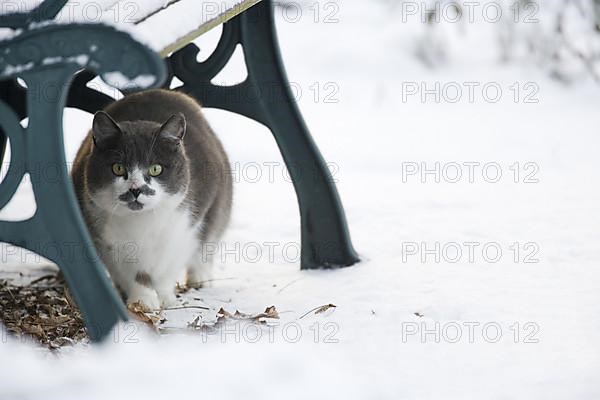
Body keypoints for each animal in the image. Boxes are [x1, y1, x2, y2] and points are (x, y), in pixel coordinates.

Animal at [71, 89, 233, 310]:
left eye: (156, 169)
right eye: (118, 168)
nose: (136, 189)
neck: (141, 221)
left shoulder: (186, 225)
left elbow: (169, 266)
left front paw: (164, 296)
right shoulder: (105, 239)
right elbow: (129, 273)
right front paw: (142, 301)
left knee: (207, 242)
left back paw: (200, 278)